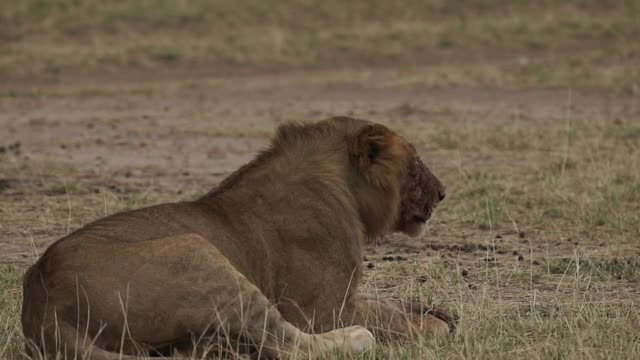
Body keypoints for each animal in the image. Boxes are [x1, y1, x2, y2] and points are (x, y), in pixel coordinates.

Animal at [21, 116, 450, 358]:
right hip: (196, 252)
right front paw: (435, 326)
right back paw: (357, 338)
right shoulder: (320, 311)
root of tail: (41, 303)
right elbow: (385, 318)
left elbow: (386, 305)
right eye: (416, 162)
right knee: (286, 344)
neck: (344, 188)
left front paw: (433, 310)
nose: (444, 191)